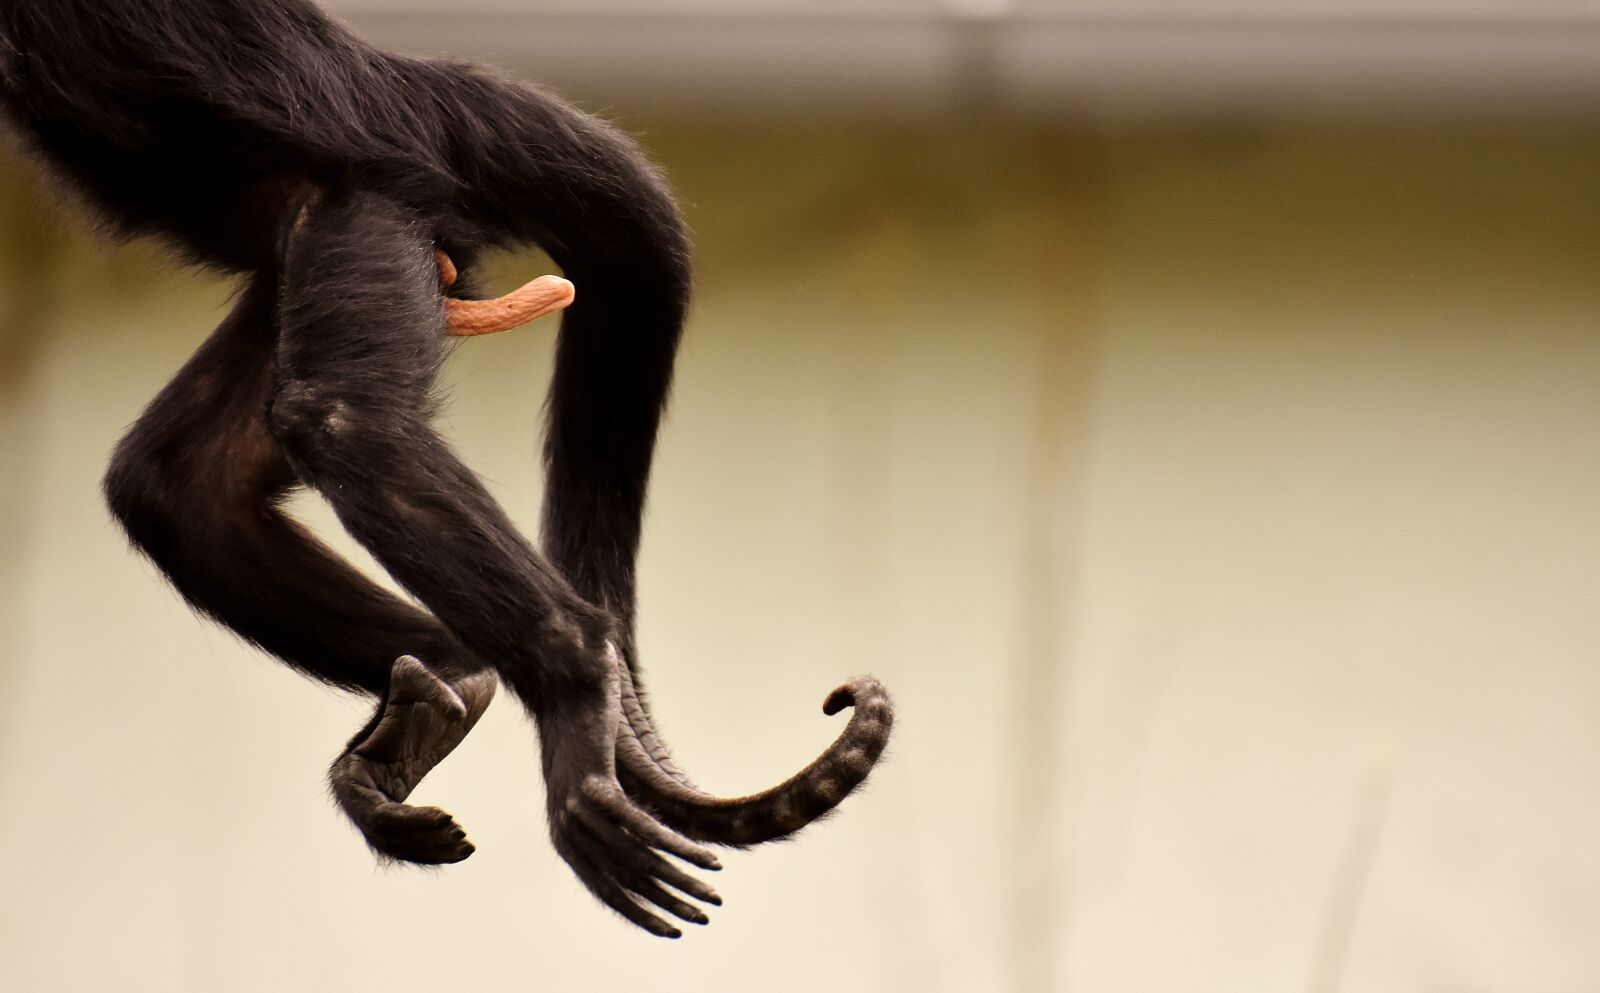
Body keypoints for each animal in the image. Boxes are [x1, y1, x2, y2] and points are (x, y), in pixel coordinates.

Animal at [0, 0, 892, 937]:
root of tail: (393, 89)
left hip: (363, 205)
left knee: (339, 420)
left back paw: (571, 678)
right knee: (180, 486)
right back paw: (453, 679)